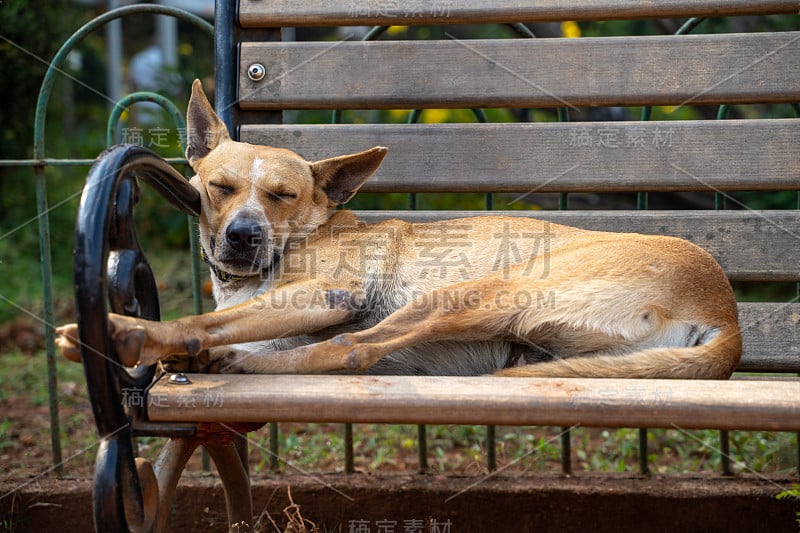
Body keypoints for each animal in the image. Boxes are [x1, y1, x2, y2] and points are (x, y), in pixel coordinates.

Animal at [57, 80, 744, 378]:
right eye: (220, 187)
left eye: (283, 195)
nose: (243, 236)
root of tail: (728, 317)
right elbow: (233, 330)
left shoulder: (324, 294)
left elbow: (209, 323)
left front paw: (147, 335)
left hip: (467, 294)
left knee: (350, 351)